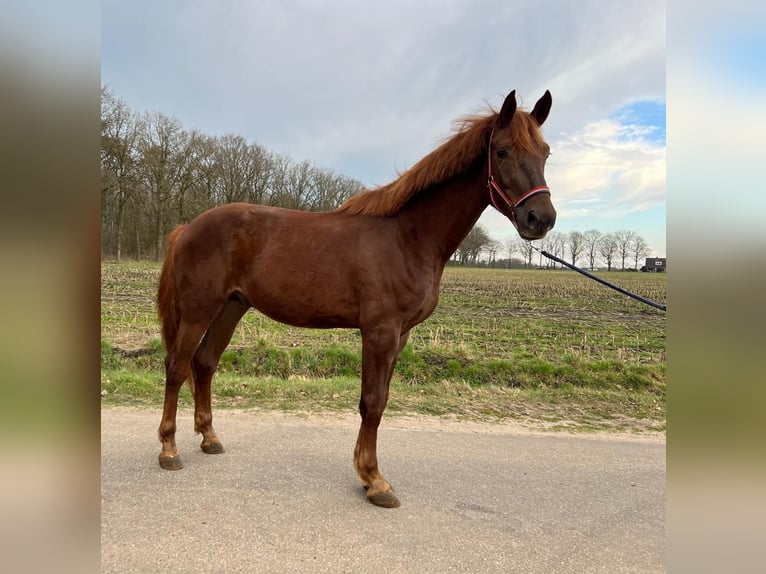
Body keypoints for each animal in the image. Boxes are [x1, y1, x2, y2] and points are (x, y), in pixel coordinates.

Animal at [156, 89, 556, 508]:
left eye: (545, 152)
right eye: (503, 151)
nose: (540, 218)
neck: (407, 237)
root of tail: (187, 229)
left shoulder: (401, 335)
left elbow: (380, 400)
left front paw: (369, 475)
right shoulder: (379, 332)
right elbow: (372, 402)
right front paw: (375, 480)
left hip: (230, 308)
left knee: (204, 363)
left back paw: (209, 438)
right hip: (199, 310)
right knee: (177, 366)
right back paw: (169, 449)